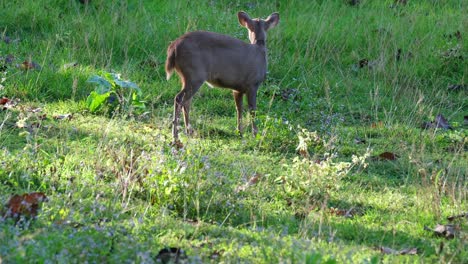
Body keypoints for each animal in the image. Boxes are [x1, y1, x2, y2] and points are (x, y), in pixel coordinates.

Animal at [166, 10, 280, 144]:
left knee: (186, 101)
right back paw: (175, 137)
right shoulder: (253, 84)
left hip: (186, 76)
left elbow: (239, 108)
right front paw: (255, 134)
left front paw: (240, 132)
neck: (259, 49)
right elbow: (252, 110)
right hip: (194, 73)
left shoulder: (237, 89)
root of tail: (173, 47)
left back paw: (189, 131)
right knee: (179, 99)